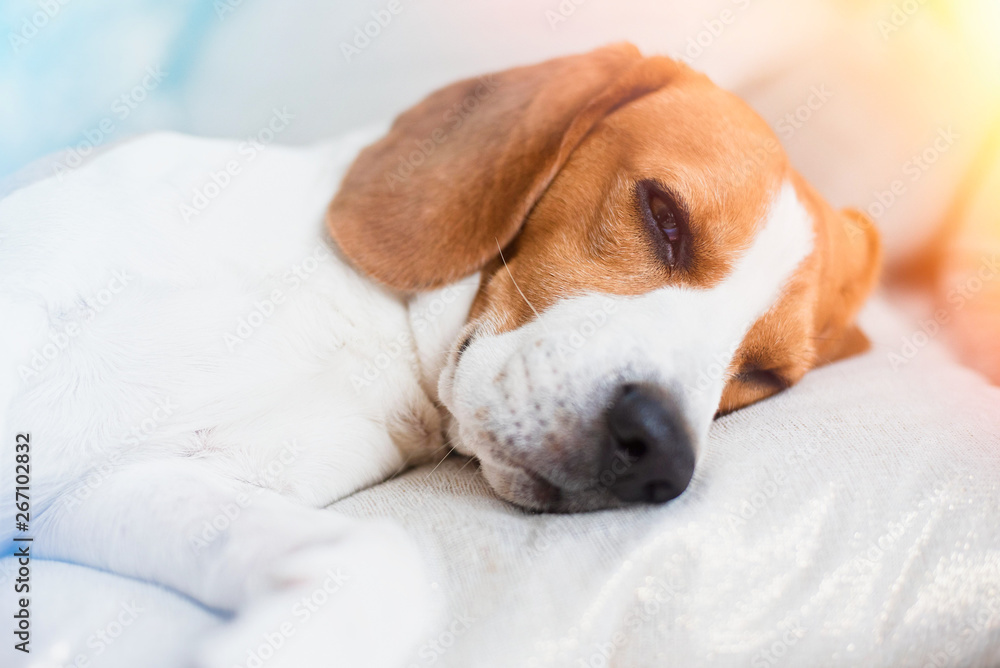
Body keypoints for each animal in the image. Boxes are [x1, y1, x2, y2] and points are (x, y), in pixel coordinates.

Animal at [0, 44, 876, 664]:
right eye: (663, 216)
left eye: (764, 376)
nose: (660, 450)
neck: (375, 326)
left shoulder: (111, 491)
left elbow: (383, 561)